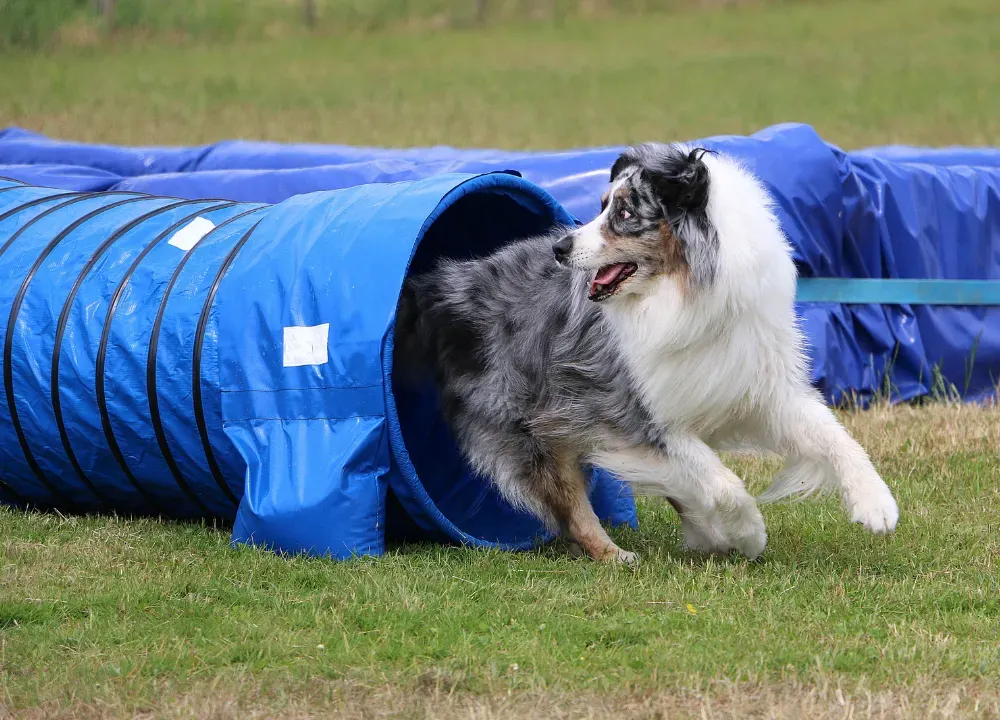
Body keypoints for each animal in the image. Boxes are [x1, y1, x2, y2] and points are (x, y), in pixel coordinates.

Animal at [392, 145, 900, 564]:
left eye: (623, 212)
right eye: (600, 206)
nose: (559, 247)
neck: (682, 296)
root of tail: (449, 282)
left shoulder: (760, 388)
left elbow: (836, 438)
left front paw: (876, 505)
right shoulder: (638, 415)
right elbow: (723, 482)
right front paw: (750, 532)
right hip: (529, 425)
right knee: (573, 510)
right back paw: (616, 555)